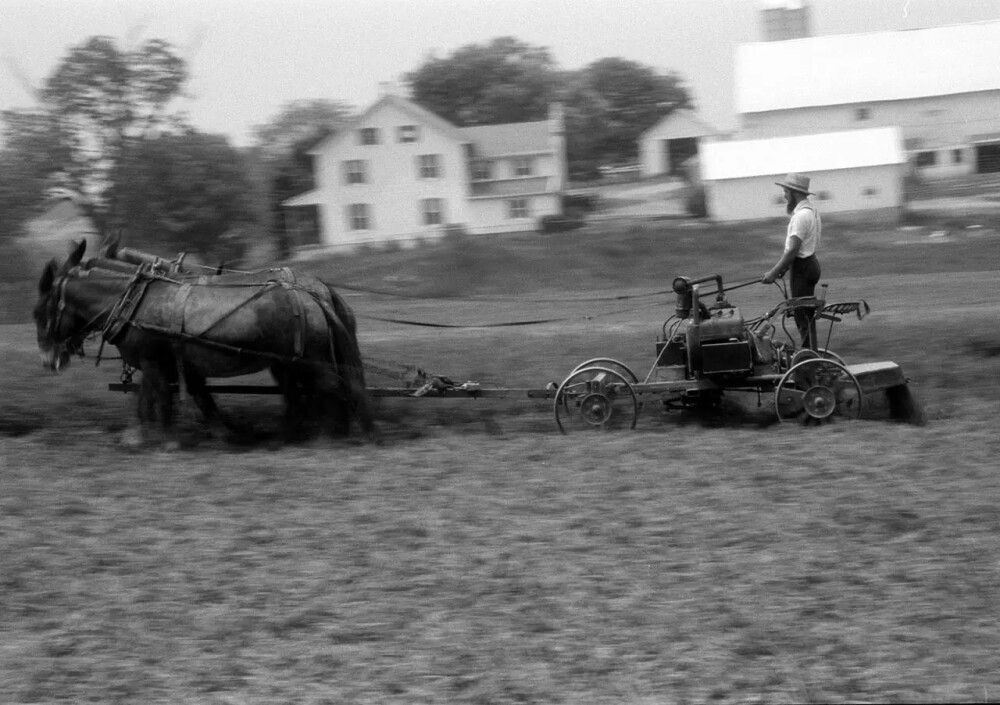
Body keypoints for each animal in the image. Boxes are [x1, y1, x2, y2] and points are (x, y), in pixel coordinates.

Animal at [34, 239, 376, 442]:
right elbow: (197, 399)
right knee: (303, 395)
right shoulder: (182, 366)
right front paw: (224, 433)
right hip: (288, 362)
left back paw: (333, 434)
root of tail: (314, 293)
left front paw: (157, 439)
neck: (132, 301)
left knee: (331, 388)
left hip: (309, 360)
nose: (50, 361)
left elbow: (155, 398)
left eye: (38, 311)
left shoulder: (153, 362)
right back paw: (293, 433)